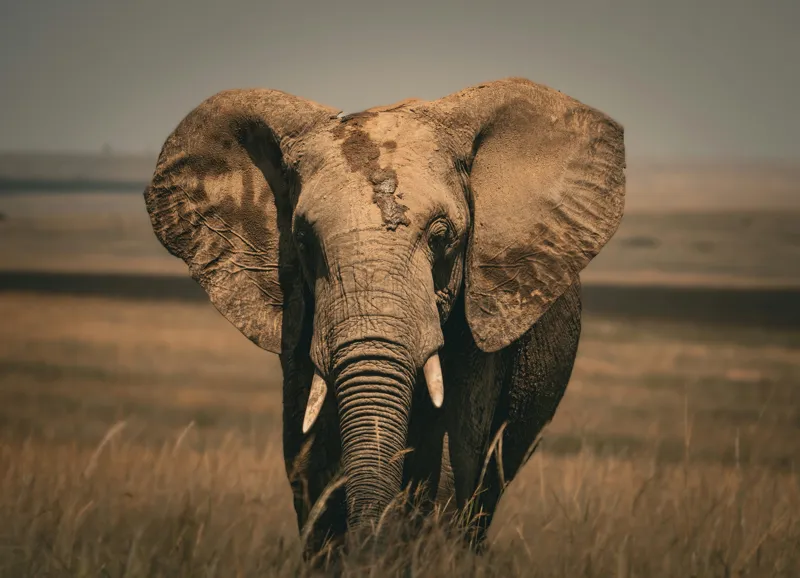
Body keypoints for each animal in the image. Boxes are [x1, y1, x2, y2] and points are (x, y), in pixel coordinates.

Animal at [143, 77, 625, 558]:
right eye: (303, 241)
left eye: (442, 237)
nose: (368, 543)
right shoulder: (300, 322)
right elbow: (308, 460)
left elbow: (449, 461)